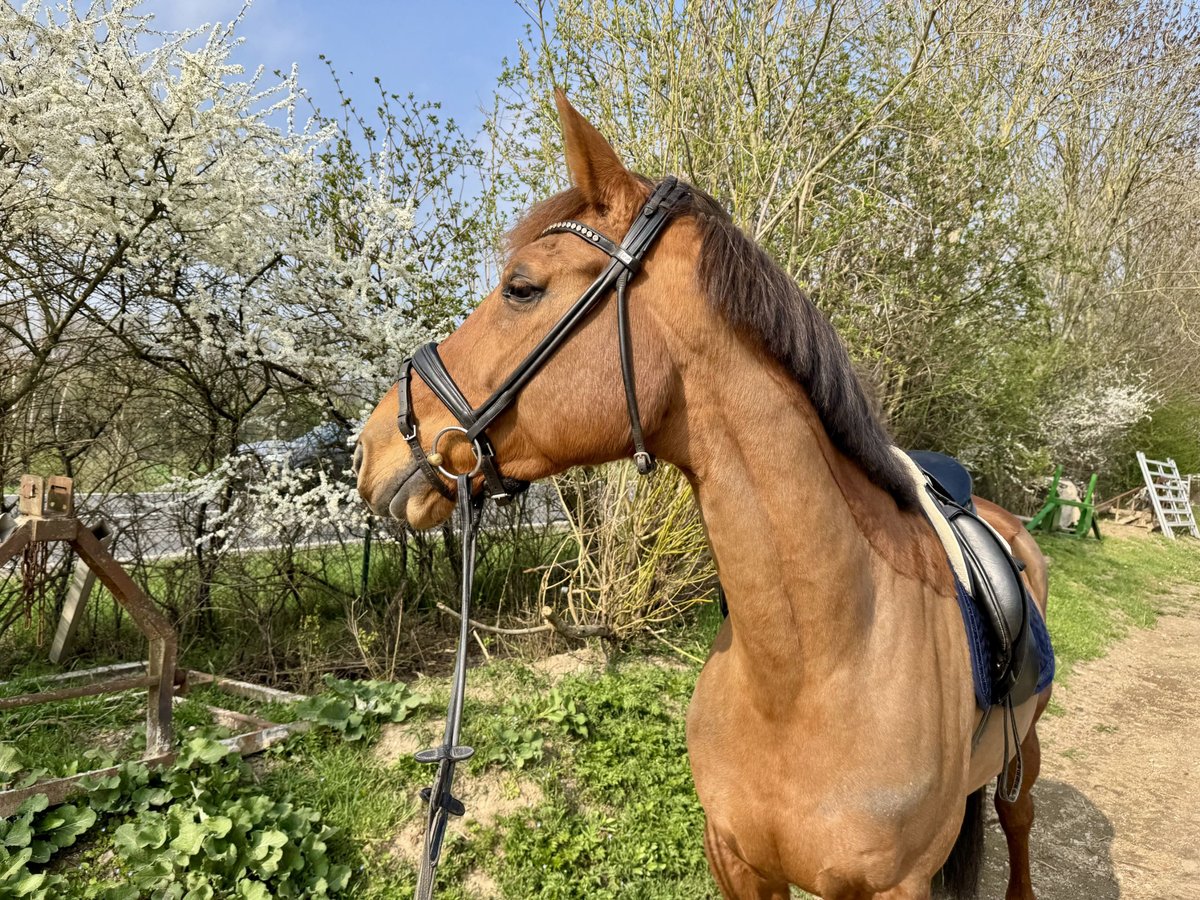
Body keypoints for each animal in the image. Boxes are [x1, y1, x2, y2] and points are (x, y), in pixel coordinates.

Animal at [355, 95, 1051, 897]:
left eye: (522, 287)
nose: (372, 445)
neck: (811, 671)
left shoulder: (895, 885)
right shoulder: (734, 859)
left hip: (1027, 753)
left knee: (1019, 821)